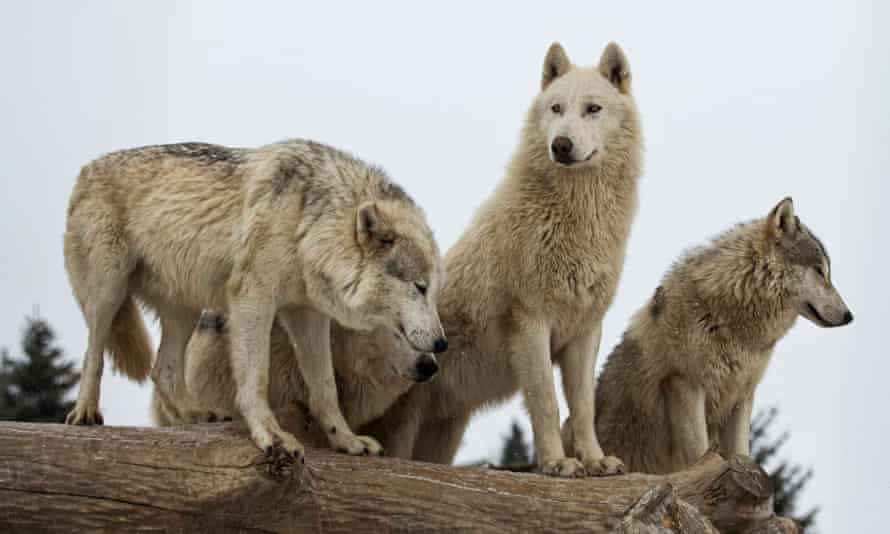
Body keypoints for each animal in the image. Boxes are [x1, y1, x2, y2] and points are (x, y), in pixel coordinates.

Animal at [360, 41, 643, 477]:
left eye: (593, 109)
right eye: (556, 108)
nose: (561, 145)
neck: (576, 219)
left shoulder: (585, 331)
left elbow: (583, 407)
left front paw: (595, 460)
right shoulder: (531, 323)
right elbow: (546, 403)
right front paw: (557, 463)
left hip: (442, 435)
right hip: (401, 425)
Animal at [562, 198, 853, 474]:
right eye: (820, 271)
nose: (849, 316)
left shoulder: (742, 395)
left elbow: (741, 453)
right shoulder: (685, 384)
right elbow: (700, 454)